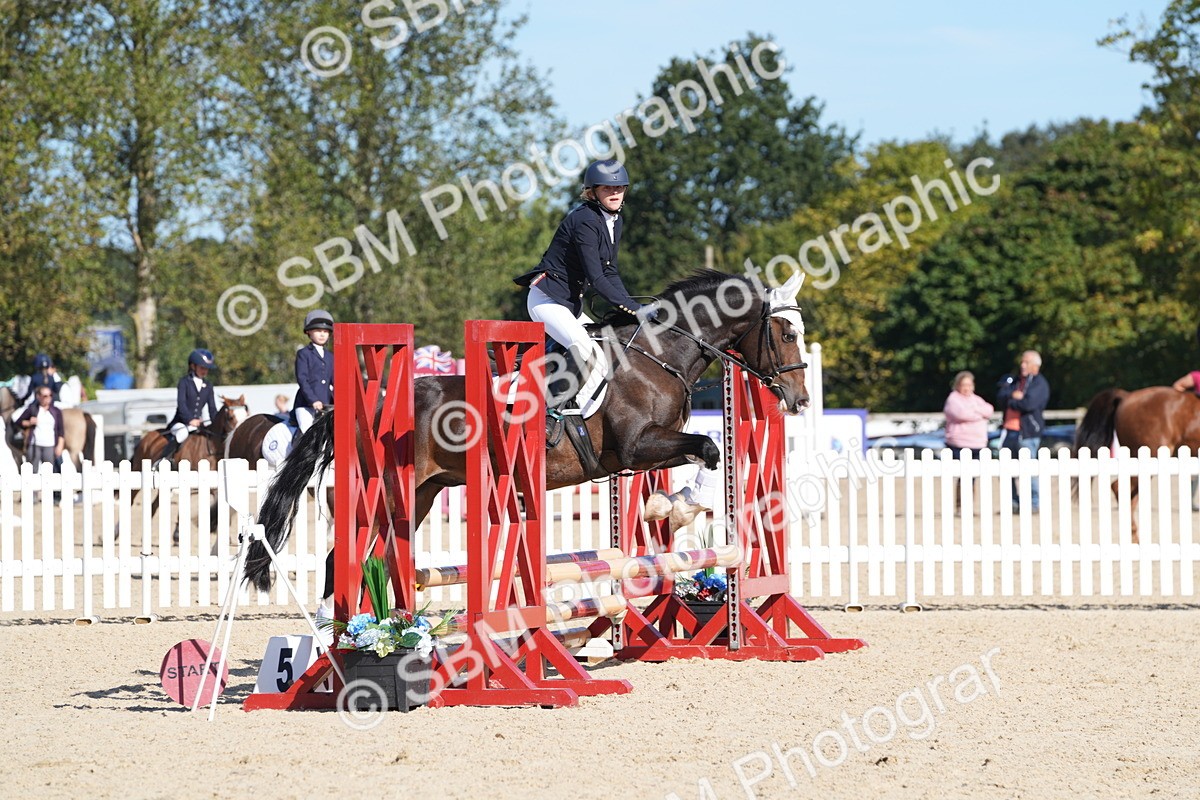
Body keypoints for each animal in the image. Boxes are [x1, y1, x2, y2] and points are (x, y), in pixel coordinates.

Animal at [243, 269, 811, 595]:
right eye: (786, 332)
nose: (800, 399)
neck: (658, 356)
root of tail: (371, 404)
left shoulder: (648, 451)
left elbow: (704, 456)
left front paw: (669, 507)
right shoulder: (636, 447)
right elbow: (710, 448)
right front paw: (672, 509)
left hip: (419, 494)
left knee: (372, 559)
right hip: (381, 489)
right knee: (340, 560)